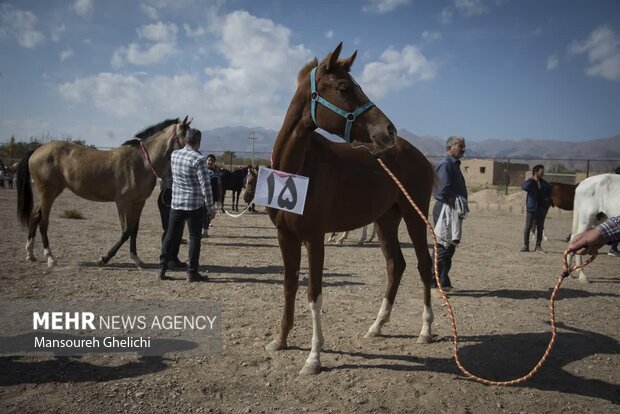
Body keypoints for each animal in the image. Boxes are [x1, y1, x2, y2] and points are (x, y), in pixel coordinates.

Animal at [17, 116, 191, 268]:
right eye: (188, 136)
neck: (142, 162)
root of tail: (37, 150)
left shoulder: (138, 202)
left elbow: (134, 230)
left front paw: (136, 259)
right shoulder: (122, 202)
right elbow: (126, 231)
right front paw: (104, 259)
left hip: (52, 191)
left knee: (35, 216)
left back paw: (30, 254)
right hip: (48, 192)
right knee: (43, 222)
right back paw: (50, 258)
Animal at [264, 42, 434, 376]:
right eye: (344, 87)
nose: (389, 130)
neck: (297, 167)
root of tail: (420, 155)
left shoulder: (314, 238)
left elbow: (313, 294)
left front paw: (314, 358)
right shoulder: (285, 236)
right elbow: (289, 285)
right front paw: (280, 339)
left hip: (414, 217)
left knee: (424, 265)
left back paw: (425, 330)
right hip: (386, 220)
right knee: (396, 265)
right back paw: (377, 326)